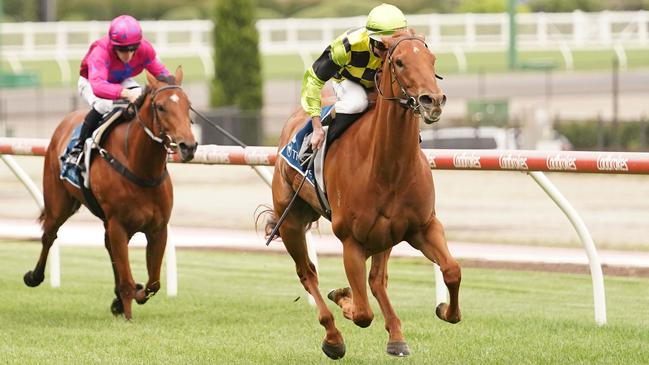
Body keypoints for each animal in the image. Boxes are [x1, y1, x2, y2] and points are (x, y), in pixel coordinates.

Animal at [24, 66, 196, 318]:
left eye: (188, 105)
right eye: (161, 106)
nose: (188, 146)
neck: (141, 168)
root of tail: (66, 121)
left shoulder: (158, 228)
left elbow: (153, 283)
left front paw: (131, 296)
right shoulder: (118, 225)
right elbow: (127, 281)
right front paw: (128, 312)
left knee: (107, 246)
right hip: (59, 204)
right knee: (49, 235)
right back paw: (34, 276)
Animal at [268, 29, 460, 358]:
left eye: (432, 58)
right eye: (400, 62)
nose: (432, 100)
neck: (387, 167)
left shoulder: (423, 226)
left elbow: (452, 270)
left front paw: (446, 310)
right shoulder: (351, 241)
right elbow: (361, 313)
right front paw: (343, 298)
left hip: (385, 234)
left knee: (377, 280)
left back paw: (396, 336)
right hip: (291, 221)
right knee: (308, 273)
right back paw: (333, 336)